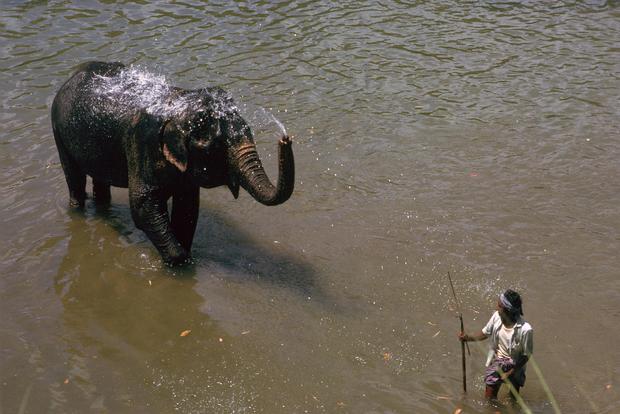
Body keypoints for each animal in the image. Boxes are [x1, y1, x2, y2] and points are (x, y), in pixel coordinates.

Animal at [52, 61, 294, 266]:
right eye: (215, 146)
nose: (285, 138)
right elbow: (142, 206)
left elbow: (187, 208)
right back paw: (77, 210)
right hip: (58, 130)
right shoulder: (140, 145)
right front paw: (178, 261)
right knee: (74, 177)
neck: (178, 106)